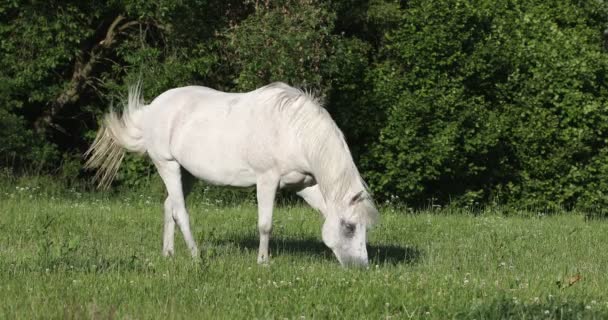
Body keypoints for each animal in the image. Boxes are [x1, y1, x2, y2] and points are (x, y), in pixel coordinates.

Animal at [84, 82, 380, 268]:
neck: (293, 130)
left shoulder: (303, 185)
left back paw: (168, 254)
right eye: (350, 227)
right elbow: (265, 224)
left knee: (169, 207)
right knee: (180, 211)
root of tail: (152, 108)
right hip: (167, 165)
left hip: (187, 173)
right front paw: (263, 262)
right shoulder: (267, 180)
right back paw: (196, 256)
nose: (361, 268)